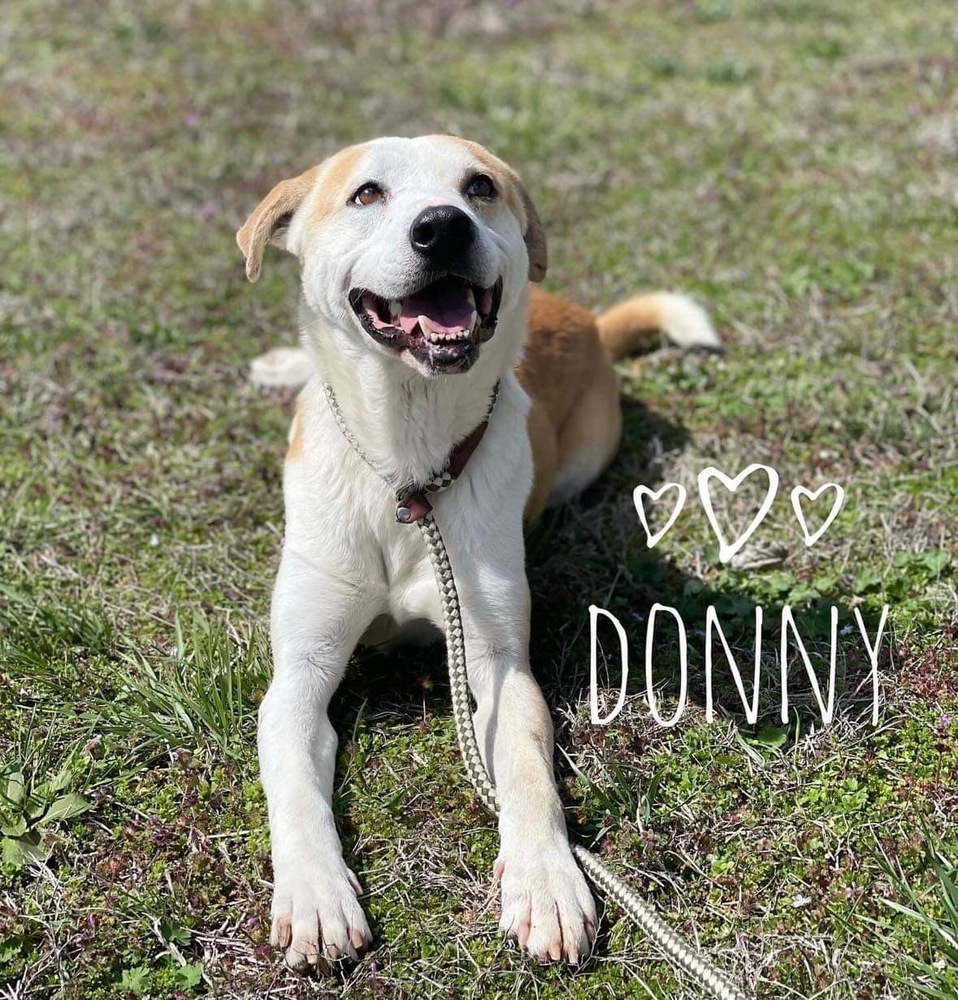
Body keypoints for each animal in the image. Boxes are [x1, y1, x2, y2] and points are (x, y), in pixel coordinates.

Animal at [240, 137, 720, 972]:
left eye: (480, 187)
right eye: (366, 193)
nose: (443, 227)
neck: (407, 467)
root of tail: (584, 315)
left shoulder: (497, 659)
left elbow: (527, 764)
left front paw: (547, 882)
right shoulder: (299, 672)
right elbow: (295, 782)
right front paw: (314, 898)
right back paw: (285, 365)